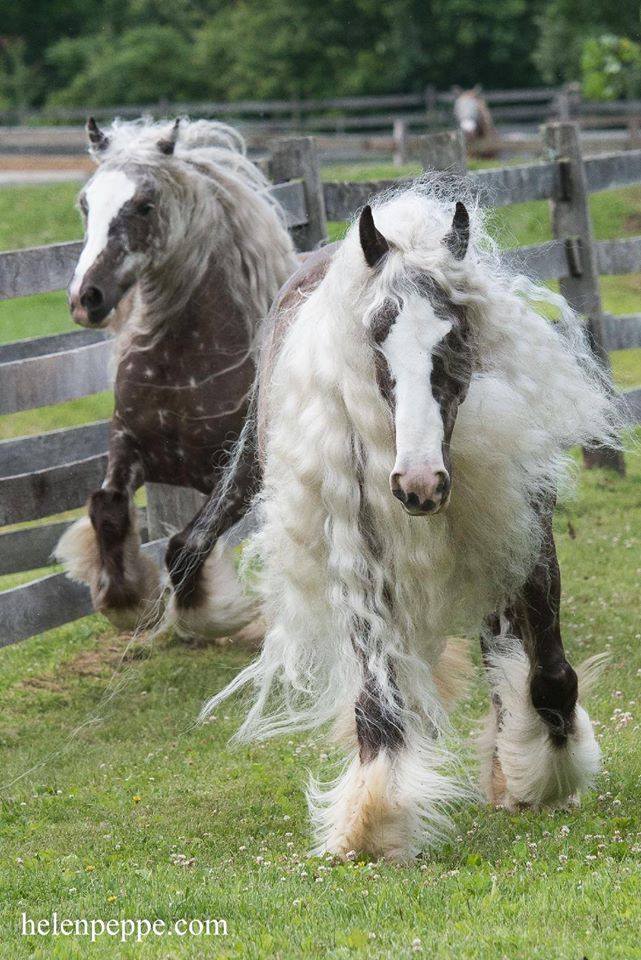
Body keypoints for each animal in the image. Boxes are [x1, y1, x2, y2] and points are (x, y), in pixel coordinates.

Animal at [55, 118, 298, 632]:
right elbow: (105, 508)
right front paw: (123, 597)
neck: (183, 377)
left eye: (145, 206)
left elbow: (187, 543)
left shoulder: (239, 478)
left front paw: (209, 613)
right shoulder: (127, 444)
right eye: (86, 203)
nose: (86, 298)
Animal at [195, 182, 620, 864]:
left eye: (454, 336)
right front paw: (375, 820)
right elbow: (378, 695)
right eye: (378, 338)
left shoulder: (522, 534)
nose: (419, 485)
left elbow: (551, 673)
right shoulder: (361, 563)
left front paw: (544, 776)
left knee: (503, 652)